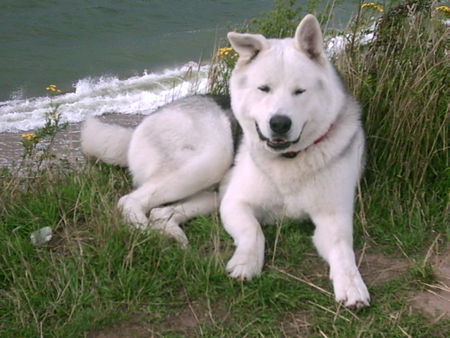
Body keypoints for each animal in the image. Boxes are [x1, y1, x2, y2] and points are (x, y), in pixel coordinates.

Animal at [81, 14, 370, 308]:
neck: (288, 160)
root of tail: (140, 124)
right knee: (130, 201)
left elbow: (343, 250)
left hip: (212, 191)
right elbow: (254, 232)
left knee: (161, 213)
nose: (279, 124)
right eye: (264, 89)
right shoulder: (235, 204)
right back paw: (145, 231)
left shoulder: (333, 218)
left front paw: (351, 284)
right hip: (212, 157)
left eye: (300, 91)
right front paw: (246, 263)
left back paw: (171, 234)